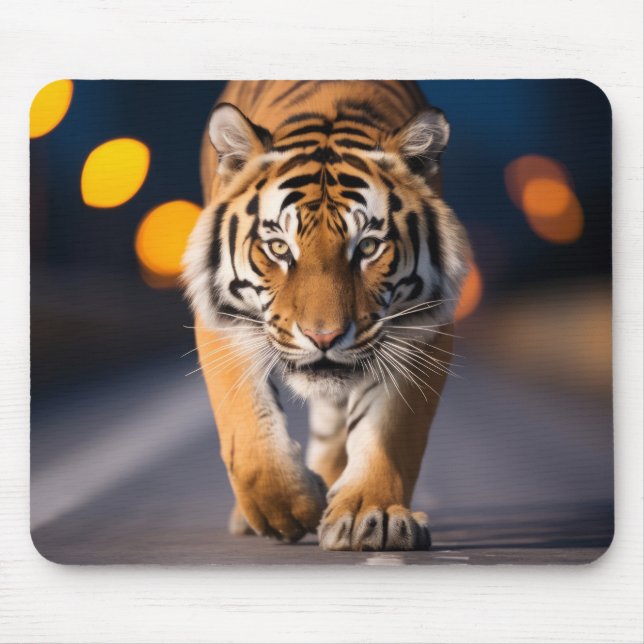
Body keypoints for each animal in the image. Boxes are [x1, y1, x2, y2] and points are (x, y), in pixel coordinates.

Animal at [182, 81, 470, 551]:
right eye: (278, 248)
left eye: (367, 247)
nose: (323, 337)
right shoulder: (223, 316)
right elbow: (247, 429)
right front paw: (289, 511)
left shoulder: (422, 325)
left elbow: (393, 429)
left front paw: (372, 514)